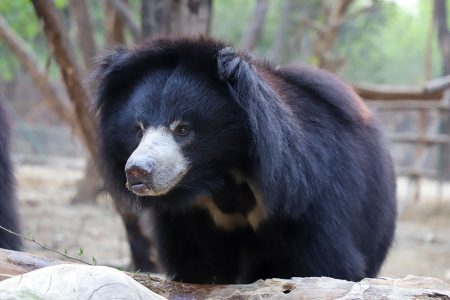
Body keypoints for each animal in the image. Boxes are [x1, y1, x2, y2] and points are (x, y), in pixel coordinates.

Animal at [94, 37, 394, 284]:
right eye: (138, 129)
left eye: (183, 129)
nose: (137, 172)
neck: (224, 174)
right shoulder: (193, 216)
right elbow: (199, 264)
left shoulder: (311, 195)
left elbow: (327, 261)